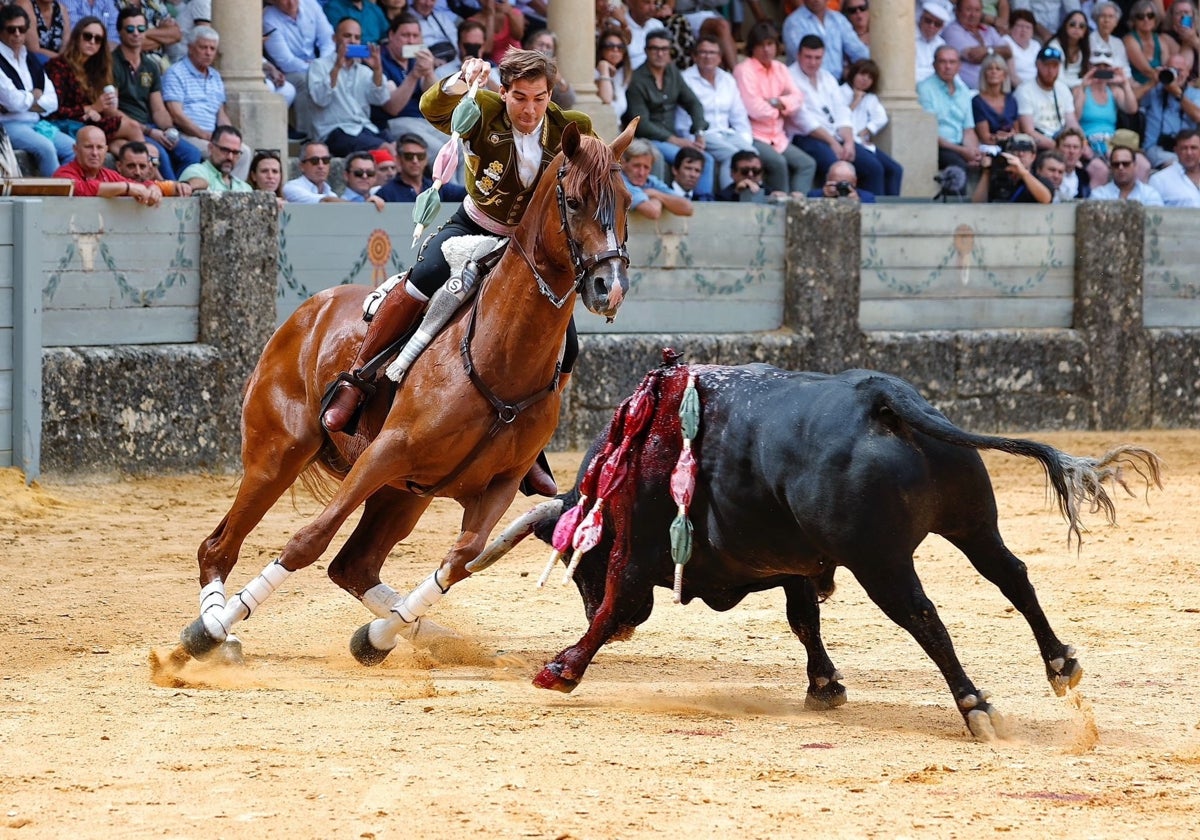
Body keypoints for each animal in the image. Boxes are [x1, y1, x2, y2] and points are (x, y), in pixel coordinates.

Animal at [171, 121, 638, 667]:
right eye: (576, 200)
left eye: (626, 201)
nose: (610, 286)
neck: (500, 357)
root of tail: (307, 311)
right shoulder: (384, 452)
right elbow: (307, 541)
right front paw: (209, 632)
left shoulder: (499, 484)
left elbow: (460, 561)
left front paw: (377, 637)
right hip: (277, 455)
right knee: (219, 546)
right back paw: (213, 632)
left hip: (405, 494)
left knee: (354, 565)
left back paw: (421, 637)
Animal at [475, 364, 1161, 739]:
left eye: (578, 564)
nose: (586, 601)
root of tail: (880, 397)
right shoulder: (795, 563)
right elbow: (804, 619)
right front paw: (825, 686)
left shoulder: (639, 556)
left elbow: (616, 604)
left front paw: (562, 668)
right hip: (972, 524)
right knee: (1012, 577)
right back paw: (1061, 665)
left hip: (880, 561)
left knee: (924, 617)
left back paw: (975, 707)